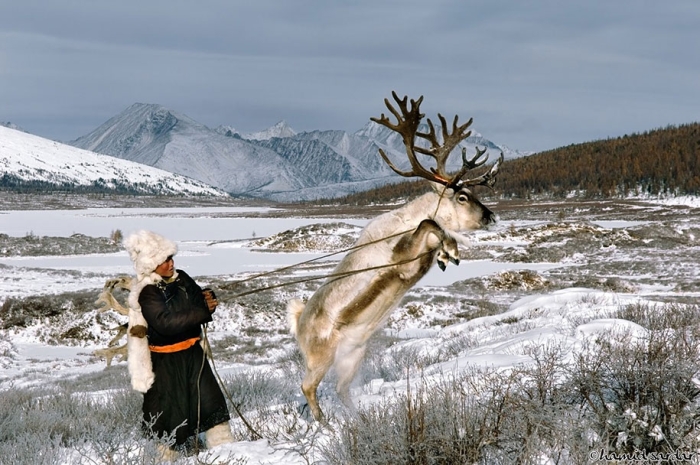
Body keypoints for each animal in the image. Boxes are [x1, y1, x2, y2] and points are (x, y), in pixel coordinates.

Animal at [287, 91, 503, 422]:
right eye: (462, 196)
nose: (491, 216)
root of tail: (298, 323)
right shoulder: (403, 260)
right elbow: (429, 224)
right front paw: (450, 250)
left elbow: (436, 234)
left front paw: (447, 254)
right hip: (321, 357)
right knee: (308, 387)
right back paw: (326, 425)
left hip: (352, 357)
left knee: (341, 389)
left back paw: (358, 421)